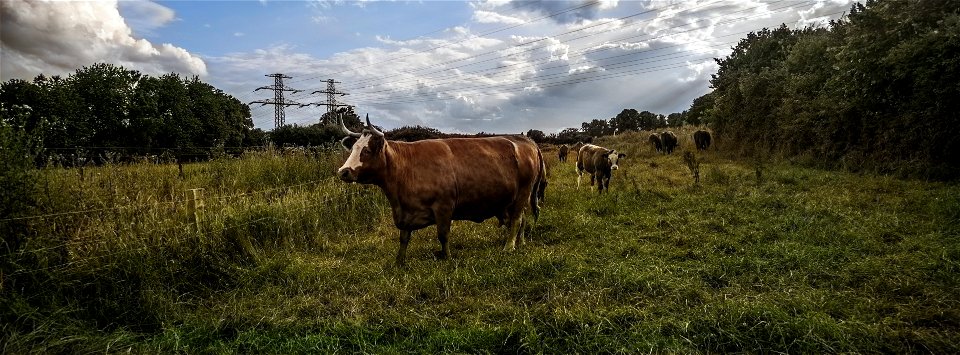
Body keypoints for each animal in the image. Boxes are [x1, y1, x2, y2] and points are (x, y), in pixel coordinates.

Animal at [338, 115, 548, 266]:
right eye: (353, 148)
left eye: (366, 151)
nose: (343, 171)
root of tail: (525, 139)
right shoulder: (406, 211)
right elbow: (404, 238)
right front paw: (399, 262)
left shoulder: (444, 206)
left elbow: (443, 234)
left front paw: (446, 257)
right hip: (510, 200)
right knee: (521, 221)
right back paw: (520, 243)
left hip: (523, 193)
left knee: (517, 220)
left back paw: (509, 247)